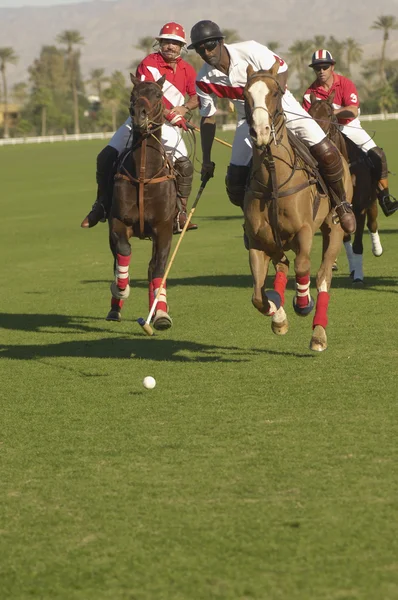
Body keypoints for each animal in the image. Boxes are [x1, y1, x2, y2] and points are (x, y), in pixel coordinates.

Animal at [107, 74, 179, 332]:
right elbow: (123, 252)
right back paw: (114, 308)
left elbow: (158, 269)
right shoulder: (118, 223)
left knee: (152, 268)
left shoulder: (164, 228)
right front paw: (121, 288)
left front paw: (161, 316)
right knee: (117, 260)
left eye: (158, 94)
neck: (143, 175)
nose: (139, 114)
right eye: (132, 94)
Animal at [243, 63, 352, 352]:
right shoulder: (257, 242)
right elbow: (257, 296)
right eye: (245, 95)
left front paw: (302, 303)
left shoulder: (304, 231)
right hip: (278, 243)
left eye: (276, 92)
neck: (273, 180)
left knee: (323, 275)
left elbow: (303, 268)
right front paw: (276, 313)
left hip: (334, 229)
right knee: (281, 266)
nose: (261, 132)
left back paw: (318, 334)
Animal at [308, 91, 382, 284]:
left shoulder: (360, 207)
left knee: (373, 222)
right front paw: (352, 269)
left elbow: (357, 244)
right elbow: (347, 237)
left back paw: (377, 249)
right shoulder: (340, 208)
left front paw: (359, 276)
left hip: (371, 200)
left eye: (329, 114)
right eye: (309, 114)